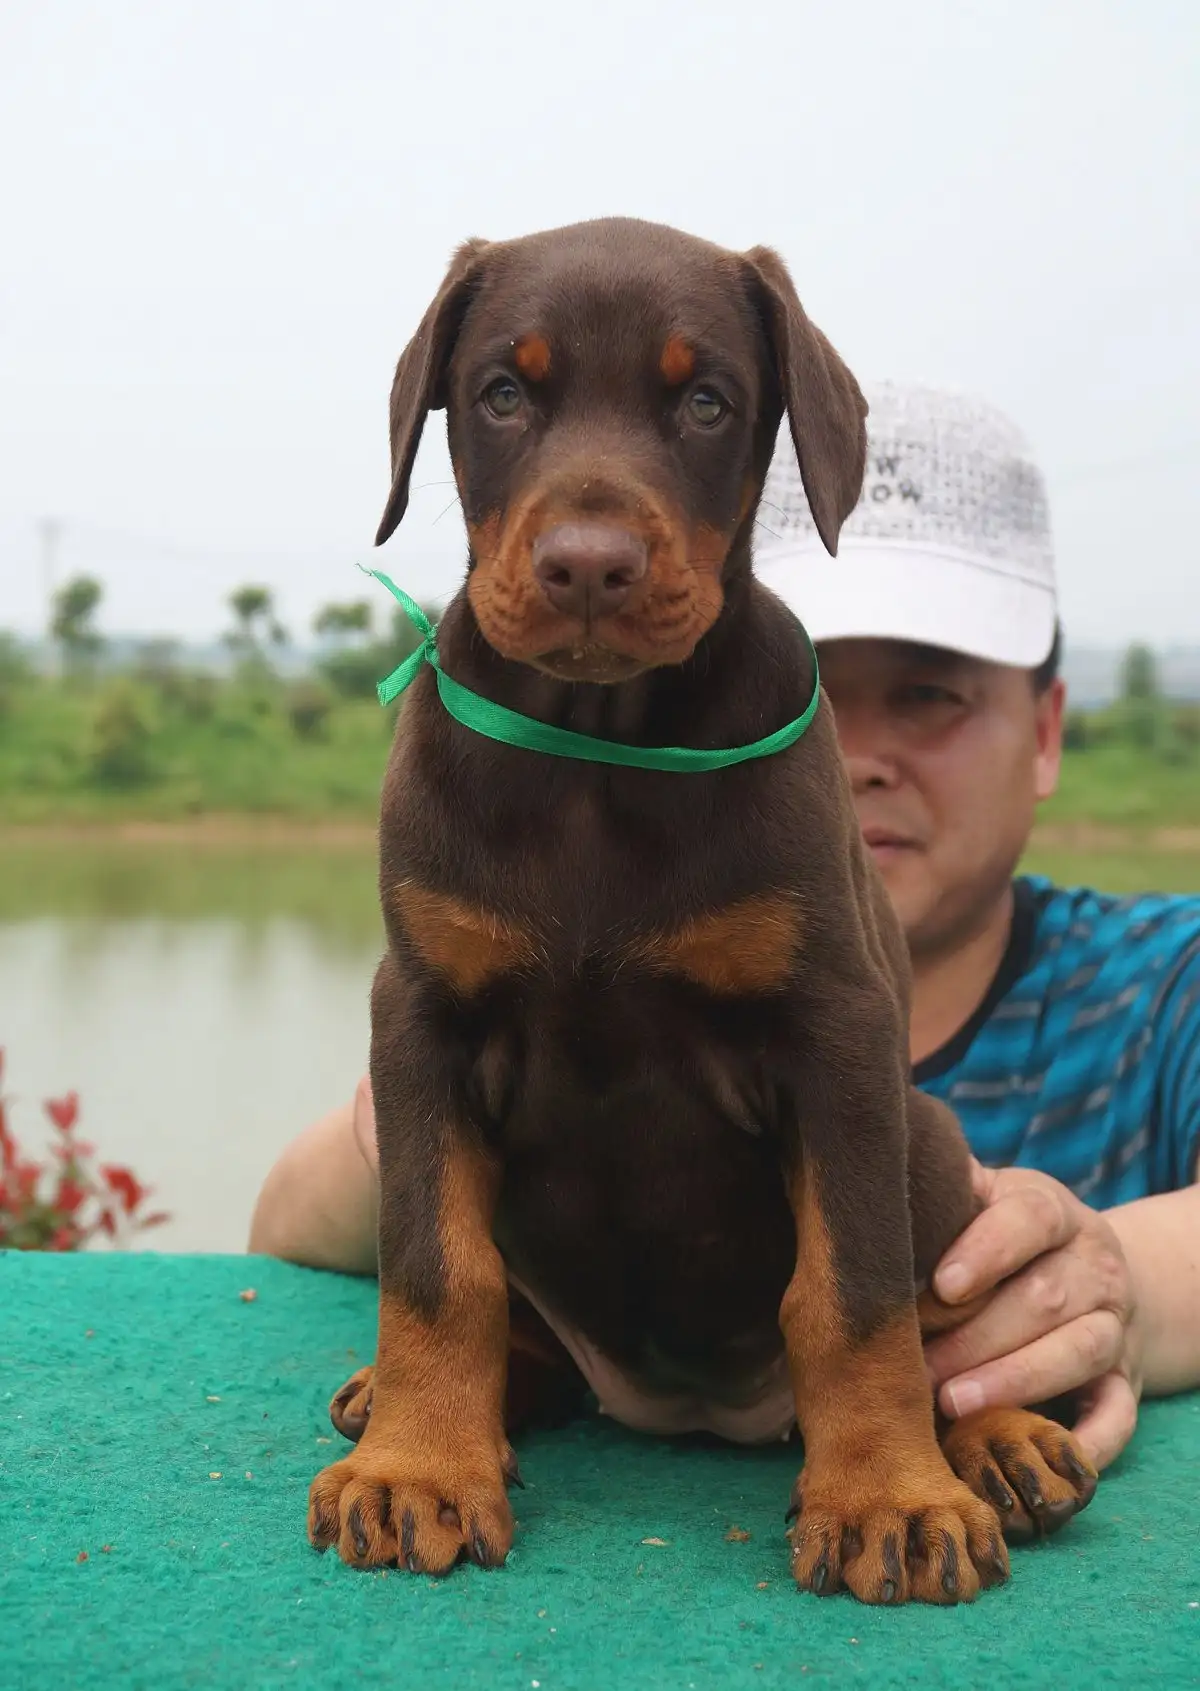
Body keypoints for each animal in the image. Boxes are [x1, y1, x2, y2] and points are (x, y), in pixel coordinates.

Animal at [307, 218, 1101, 1603]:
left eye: (706, 401)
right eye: (503, 392)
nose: (588, 565)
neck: (602, 747)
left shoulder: (836, 1026)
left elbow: (857, 1291)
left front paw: (890, 1496)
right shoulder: (420, 1014)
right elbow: (436, 1266)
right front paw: (417, 1464)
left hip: (928, 1133)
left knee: (942, 1328)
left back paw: (996, 1437)